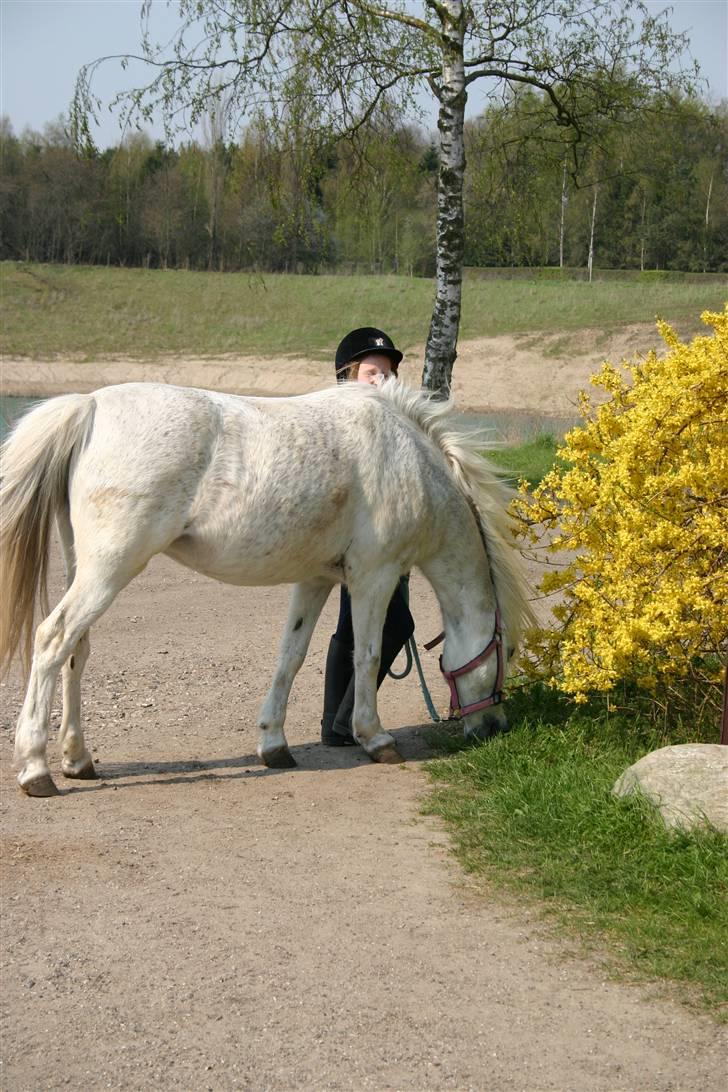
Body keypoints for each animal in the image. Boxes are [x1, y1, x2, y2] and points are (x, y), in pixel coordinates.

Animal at [1, 380, 534, 799]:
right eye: (506, 650)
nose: (495, 727)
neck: (412, 463)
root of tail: (89, 405)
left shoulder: (317, 579)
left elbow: (290, 656)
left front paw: (274, 744)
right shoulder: (375, 577)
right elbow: (367, 655)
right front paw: (375, 738)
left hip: (85, 566)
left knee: (76, 650)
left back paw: (78, 760)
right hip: (110, 569)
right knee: (53, 639)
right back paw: (36, 770)